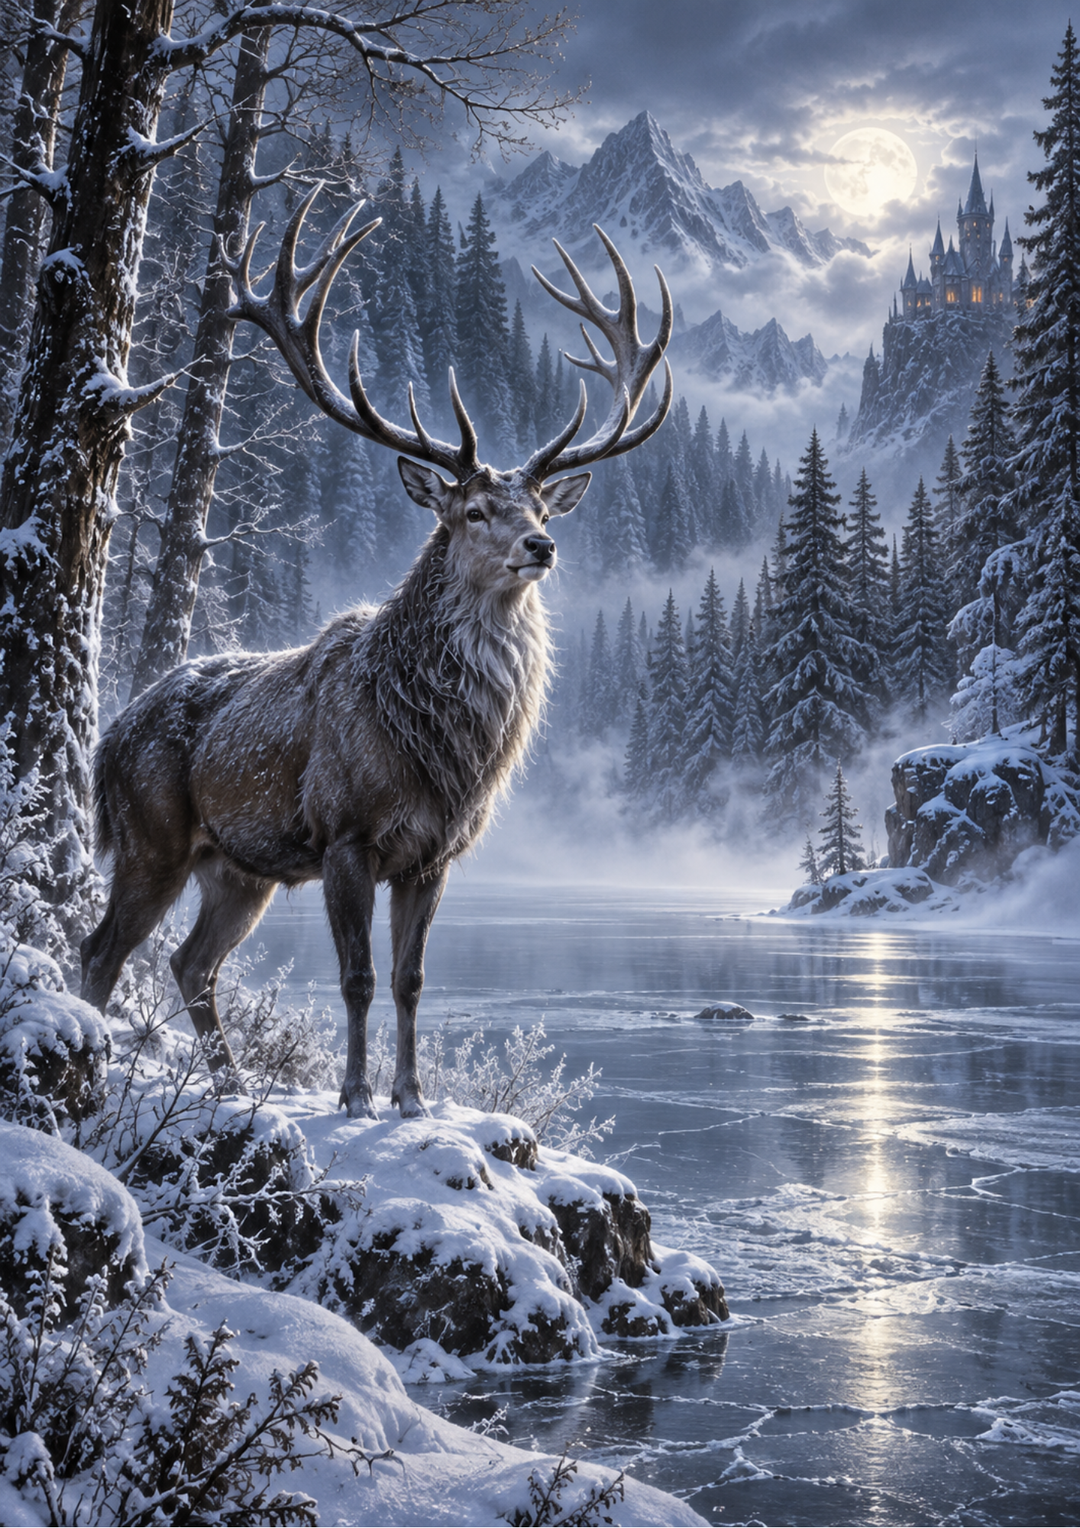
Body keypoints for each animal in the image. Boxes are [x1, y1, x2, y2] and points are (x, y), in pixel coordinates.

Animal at [80, 186, 672, 1120]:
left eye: (541, 504)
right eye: (471, 511)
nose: (540, 545)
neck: (439, 749)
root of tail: (111, 732)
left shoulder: (432, 855)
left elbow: (410, 980)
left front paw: (413, 1098)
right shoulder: (344, 833)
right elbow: (356, 978)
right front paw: (356, 1096)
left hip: (236, 869)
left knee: (190, 961)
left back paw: (229, 1082)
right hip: (151, 835)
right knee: (102, 948)